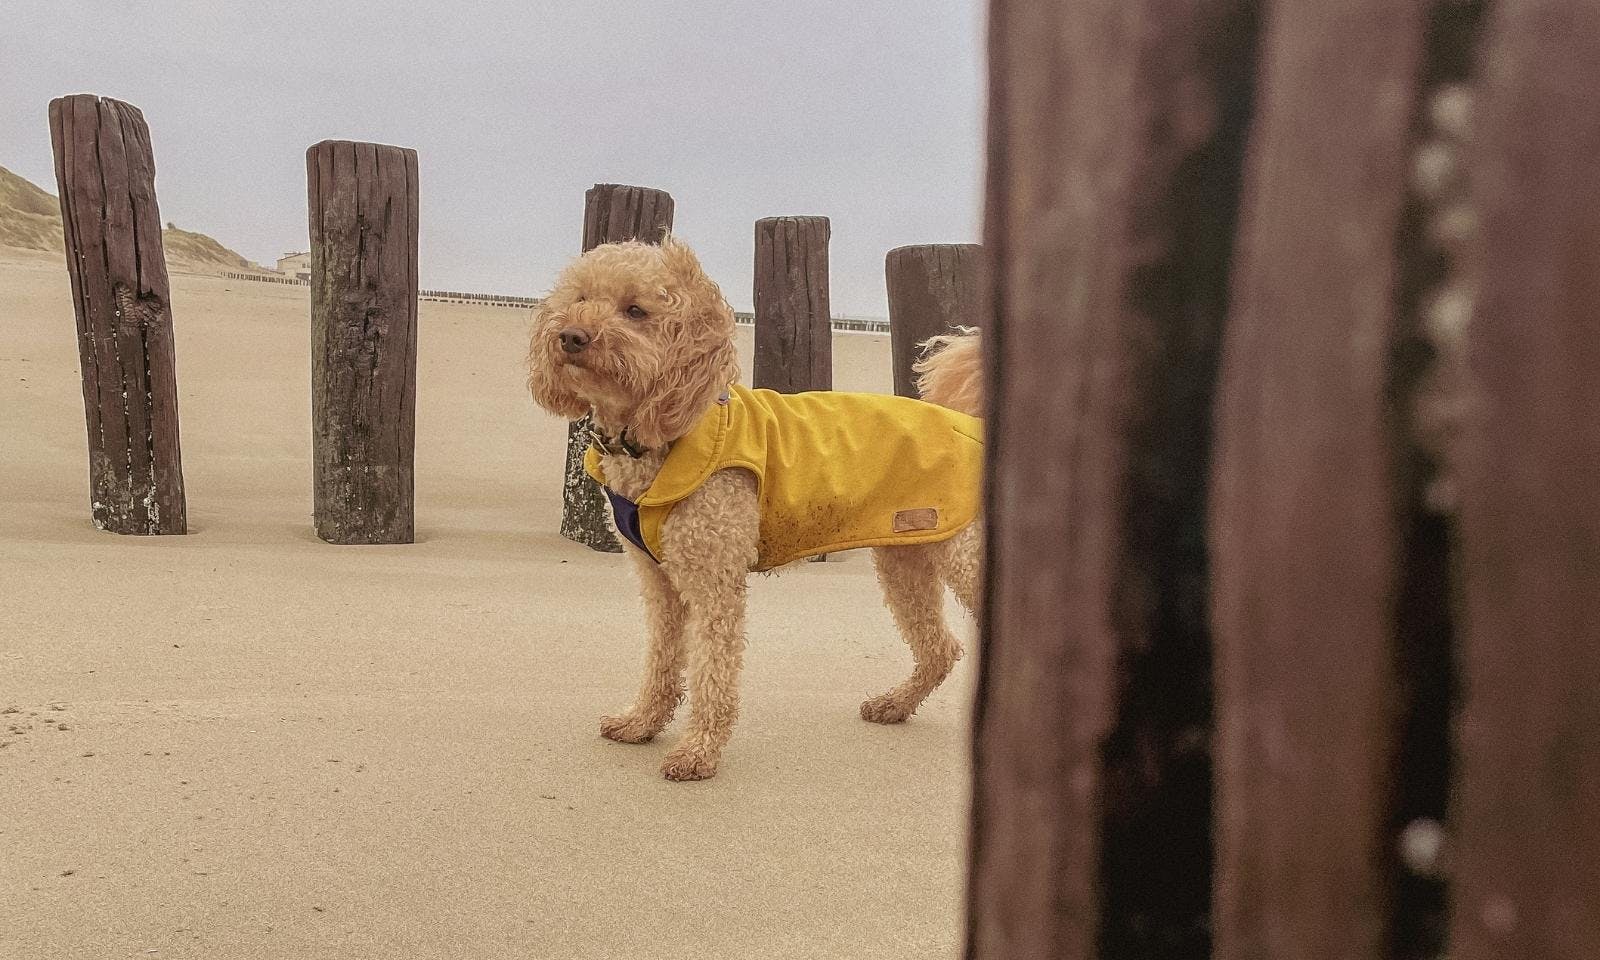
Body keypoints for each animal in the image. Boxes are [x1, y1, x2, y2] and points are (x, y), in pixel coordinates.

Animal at [528, 238, 972, 780]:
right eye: (580, 298)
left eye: (635, 311)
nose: (570, 336)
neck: (656, 439)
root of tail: (969, 422)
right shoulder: (659, 580)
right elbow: (662, 658)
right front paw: (642, 723)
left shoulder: (714, 578)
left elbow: (712, 670)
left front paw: (699, 752)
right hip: (904, 559)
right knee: (940, 648)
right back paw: (894, 704)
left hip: (965, 556)